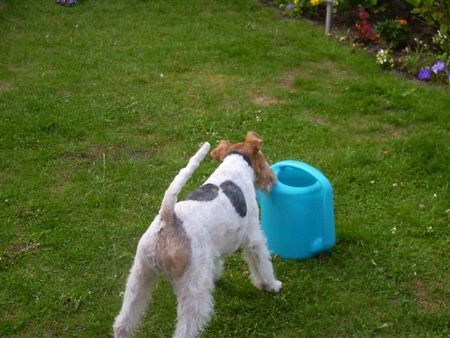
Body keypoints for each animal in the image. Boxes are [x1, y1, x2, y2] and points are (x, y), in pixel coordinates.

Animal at [112, 132, 282, 338]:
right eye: (263, 158)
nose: (272, 179)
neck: (234, 167)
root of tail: (168, 217)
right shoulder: (253, 238)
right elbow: (262, 264)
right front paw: (271, 285)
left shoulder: (213, 248)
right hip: (192, 289)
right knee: (185, 328)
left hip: (140, 274)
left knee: (124, 320)